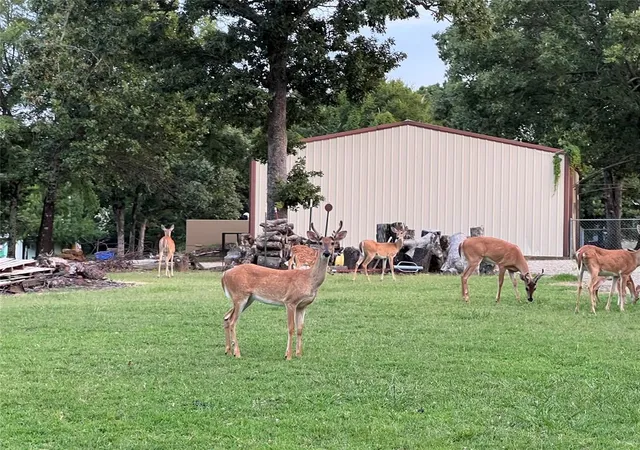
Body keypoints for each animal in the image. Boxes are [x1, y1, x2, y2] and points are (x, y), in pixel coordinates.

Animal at [221, 221, 347, 360]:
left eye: (333, 242)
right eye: (320, 242)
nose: (326, 253)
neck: (309, 279)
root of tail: (225, 274)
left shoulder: (302, 305)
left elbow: (300, 328)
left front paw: (299, 354)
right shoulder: (290, 301)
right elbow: (291, 327)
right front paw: (288, 355)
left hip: (247, 299)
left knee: (226, 317)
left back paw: (228, 350)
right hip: (239, 296)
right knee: (232, 321)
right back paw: (237, 353)